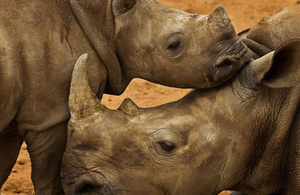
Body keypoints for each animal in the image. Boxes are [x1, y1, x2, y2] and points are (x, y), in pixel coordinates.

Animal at [0, 0, 251, 193]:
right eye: (174, 45)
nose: (238, 54)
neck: (106, 23)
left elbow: (4, 164)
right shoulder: (49, 116)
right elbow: (48, 179)